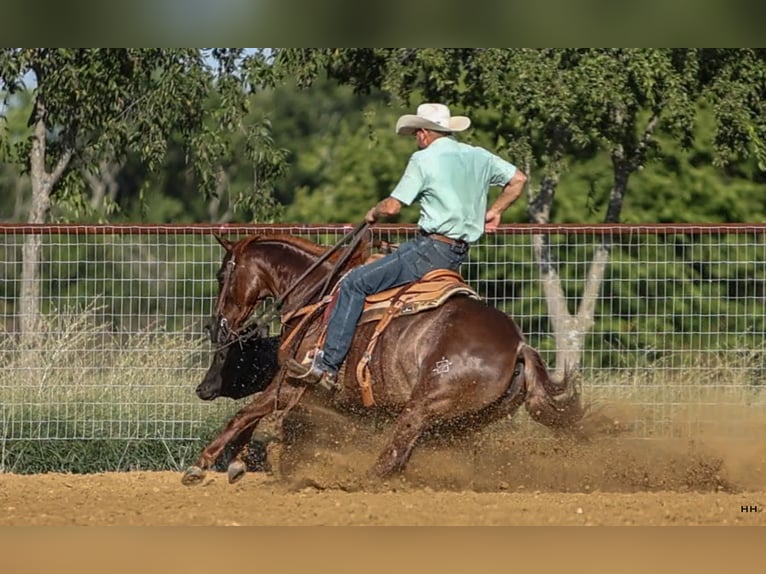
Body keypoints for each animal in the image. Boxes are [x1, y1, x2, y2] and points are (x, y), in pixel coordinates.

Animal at [183, 234, 584, 486]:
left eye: (221, 274)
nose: (217, 325)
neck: (317, 294)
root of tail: (519, 347)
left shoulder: (295, 380)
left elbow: (245, 414)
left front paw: (201, 465)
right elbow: (255, 418)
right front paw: (238, 461)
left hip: (424, 405)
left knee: (395, 452)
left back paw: (357, 482)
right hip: (465, 421)